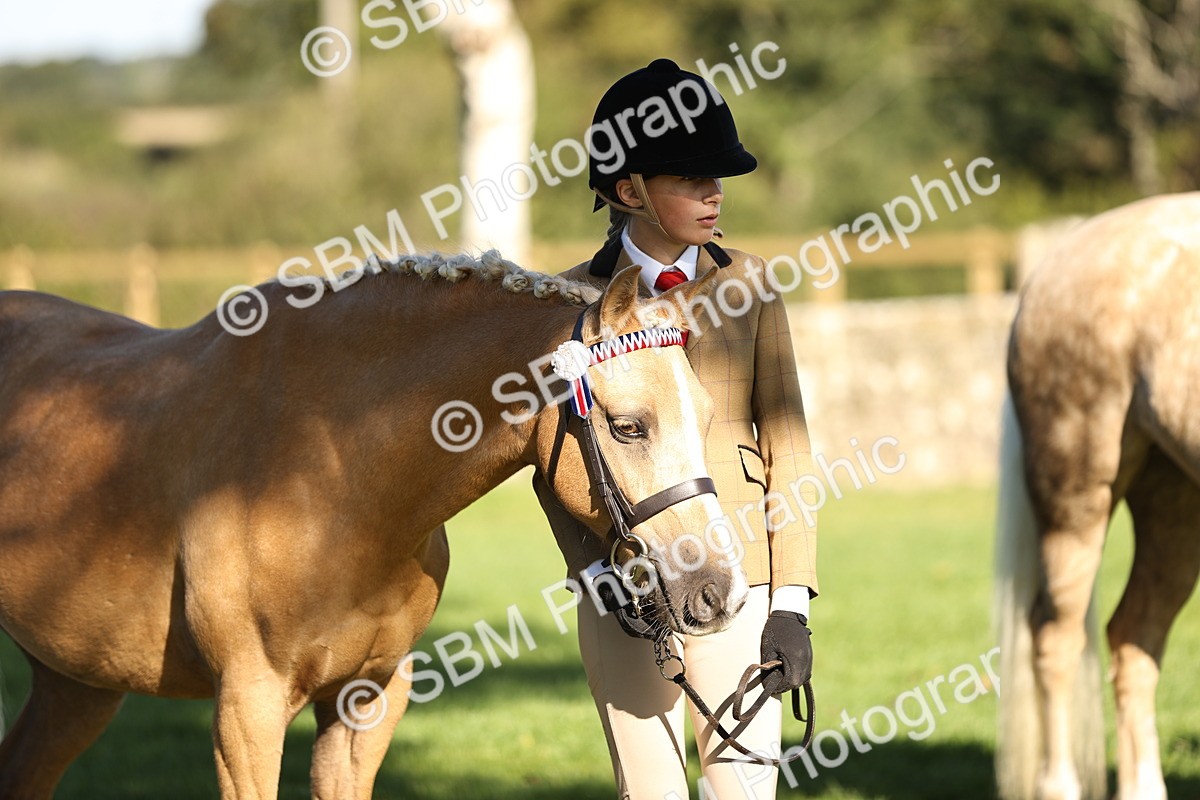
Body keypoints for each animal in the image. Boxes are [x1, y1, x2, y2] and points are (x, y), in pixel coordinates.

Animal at [0, 251, 749, 799]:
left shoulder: (370, 700)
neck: (330, 475)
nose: (719, 591)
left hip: (77, 684)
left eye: (710, 418)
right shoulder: (246, 708)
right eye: (628, 427)